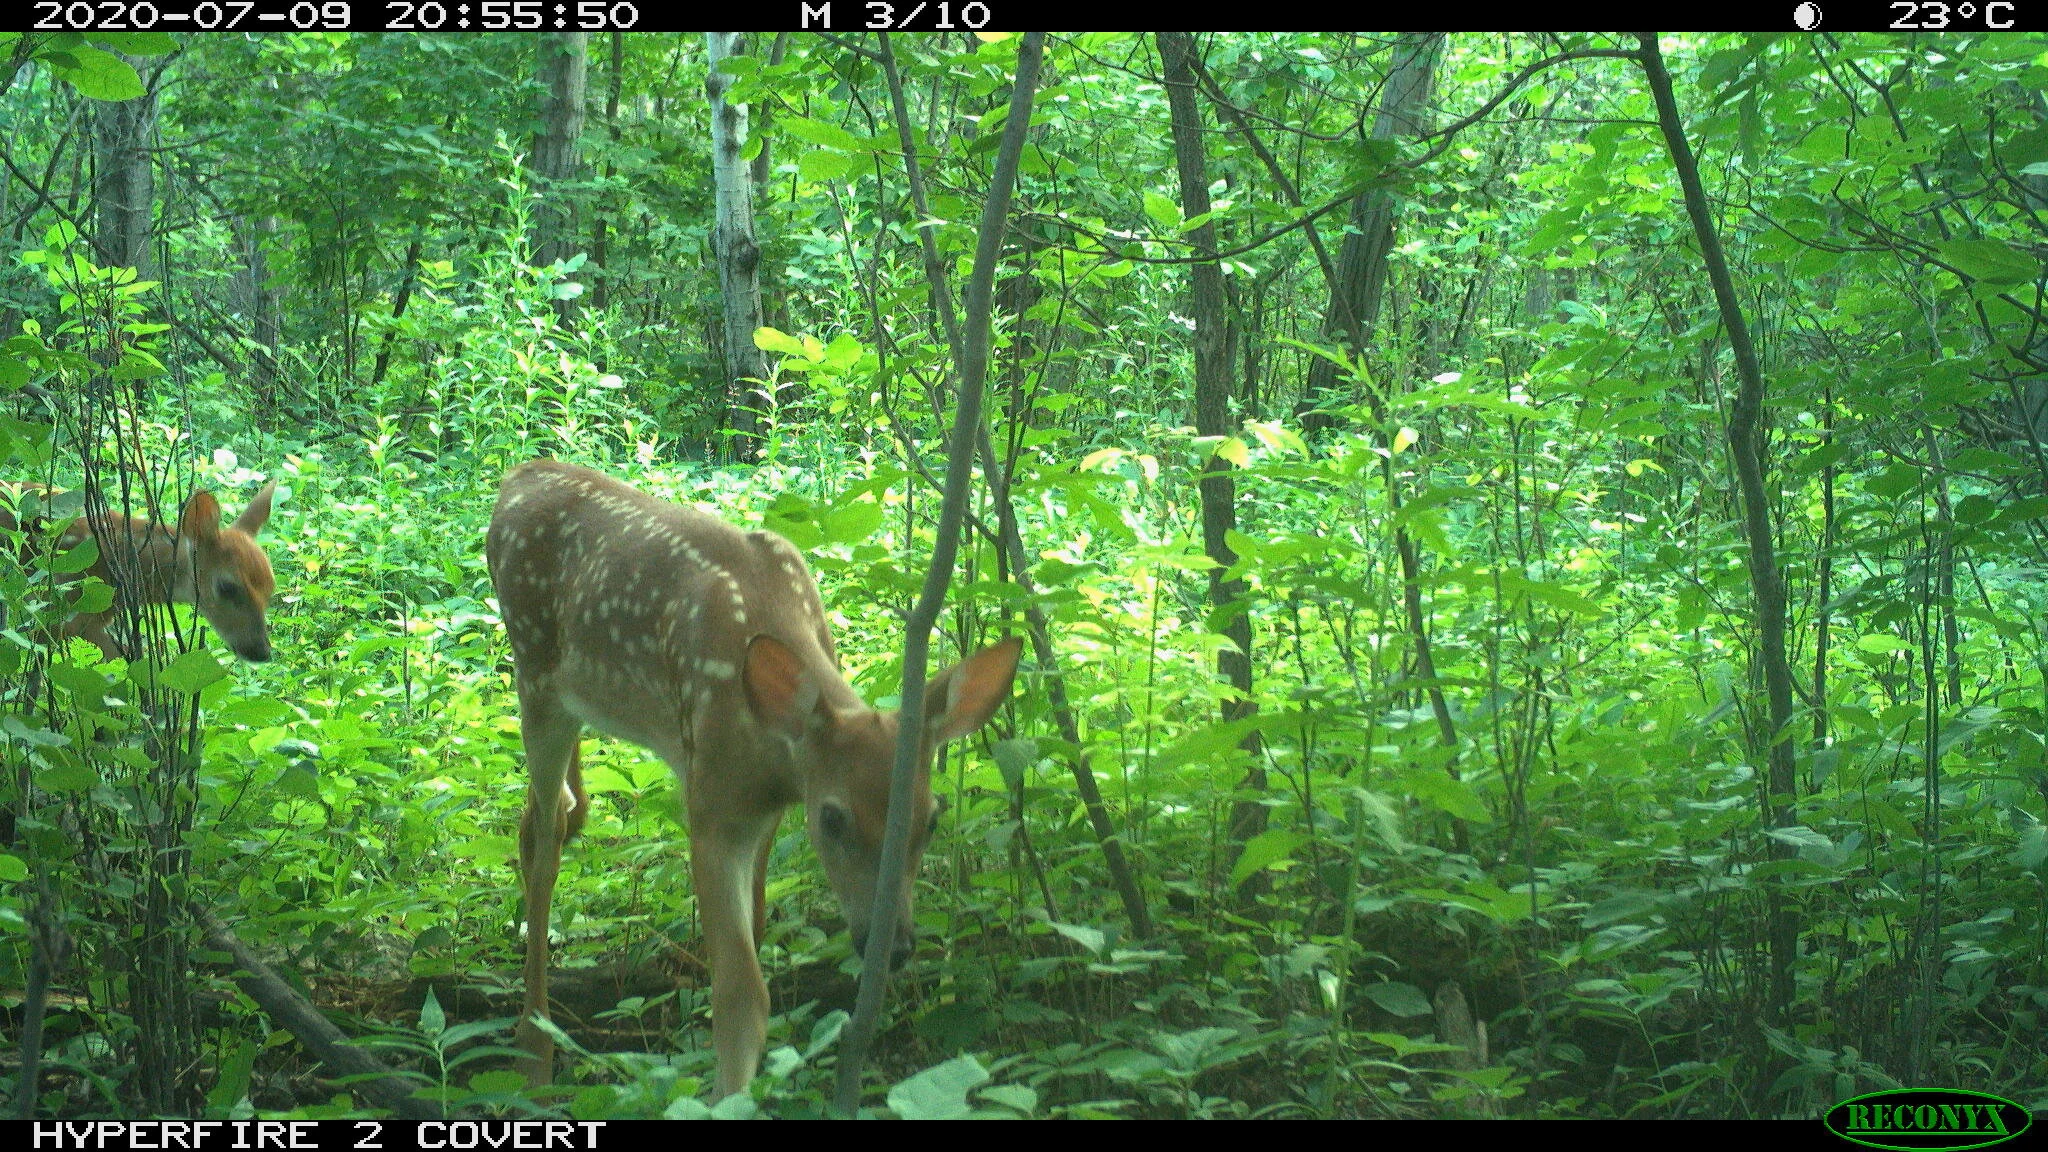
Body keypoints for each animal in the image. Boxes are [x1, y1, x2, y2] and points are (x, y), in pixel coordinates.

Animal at [486, 459, 1020, 1100]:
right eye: (833, 817)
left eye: (932, 819)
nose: (893, 948)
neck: (771, 746)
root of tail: (519, 474)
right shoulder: (712, 802)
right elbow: (742, 992)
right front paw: (727, 1096)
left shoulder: (769, 806)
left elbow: (762, 924)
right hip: (536, 678)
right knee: (543, 843)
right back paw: (533, 1051)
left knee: (556, 813)